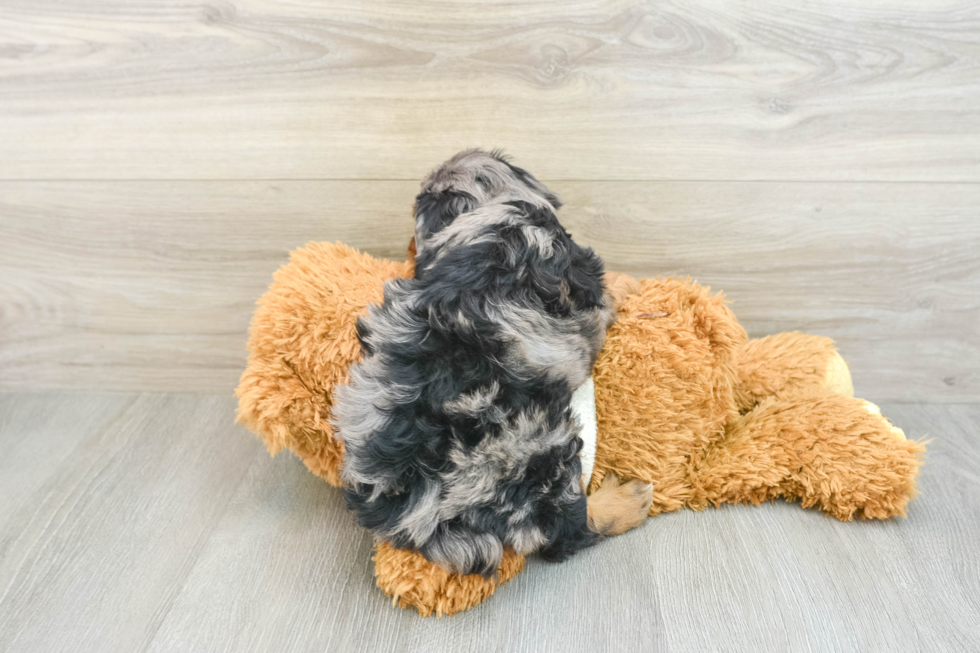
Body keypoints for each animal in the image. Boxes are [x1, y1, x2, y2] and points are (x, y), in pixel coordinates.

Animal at [334, 149, 652, 576]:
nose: (409, 246)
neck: (486, 209)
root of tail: (406, 501)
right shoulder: (583, 292)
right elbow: (607, 294)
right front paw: (628, 282)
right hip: (539, 453)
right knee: (568, 532)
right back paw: (627, 500)